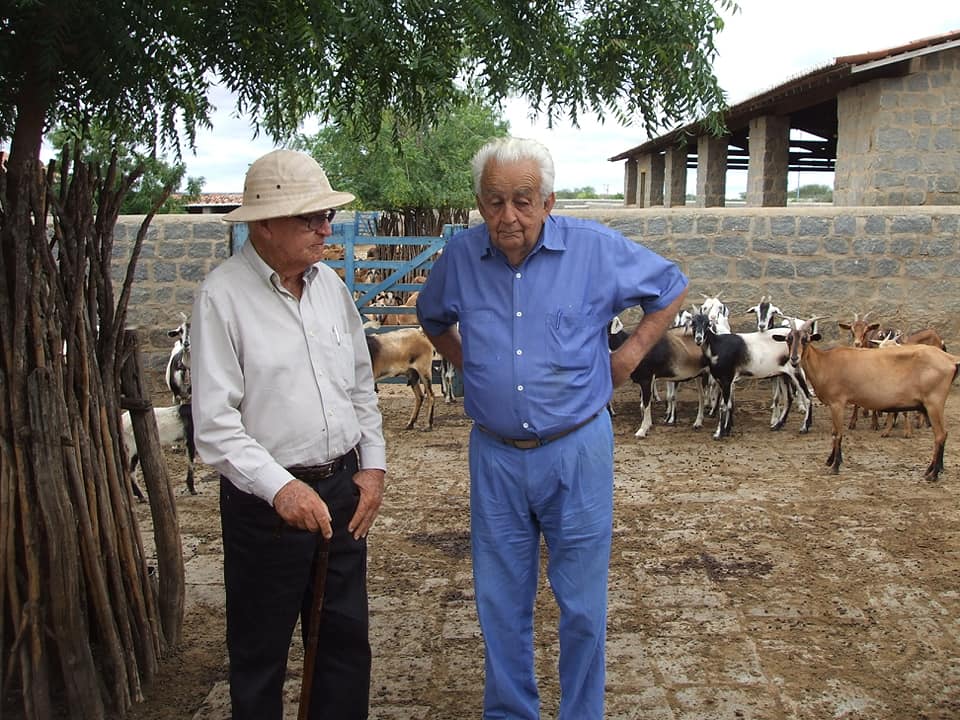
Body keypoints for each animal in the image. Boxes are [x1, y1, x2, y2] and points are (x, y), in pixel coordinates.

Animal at [688, 310, 808, 438]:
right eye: (693, 323)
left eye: (707, 324)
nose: (699, 339)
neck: (717, 345)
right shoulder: (725, 381)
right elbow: (729, 404)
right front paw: (726, 430)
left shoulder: (726, 379)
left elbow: (723, 406)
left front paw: (719, 433)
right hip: (783, 374)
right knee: (789, 398)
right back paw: (777, 425)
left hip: (795, 369)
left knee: (807, 396)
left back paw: (804, 427)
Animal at [780, 318, 960, 480]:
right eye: (789, 339)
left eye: (806, 339)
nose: (794, 359)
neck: (825, 362)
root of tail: (950, 359)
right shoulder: (834, 404)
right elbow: (833, 432)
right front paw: (831, 460)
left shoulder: (837, 402)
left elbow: (838, 433)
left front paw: (835, 466)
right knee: (941, 435)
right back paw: (931, 471)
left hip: (934, 403)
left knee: (940, 435)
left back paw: (933, 475)